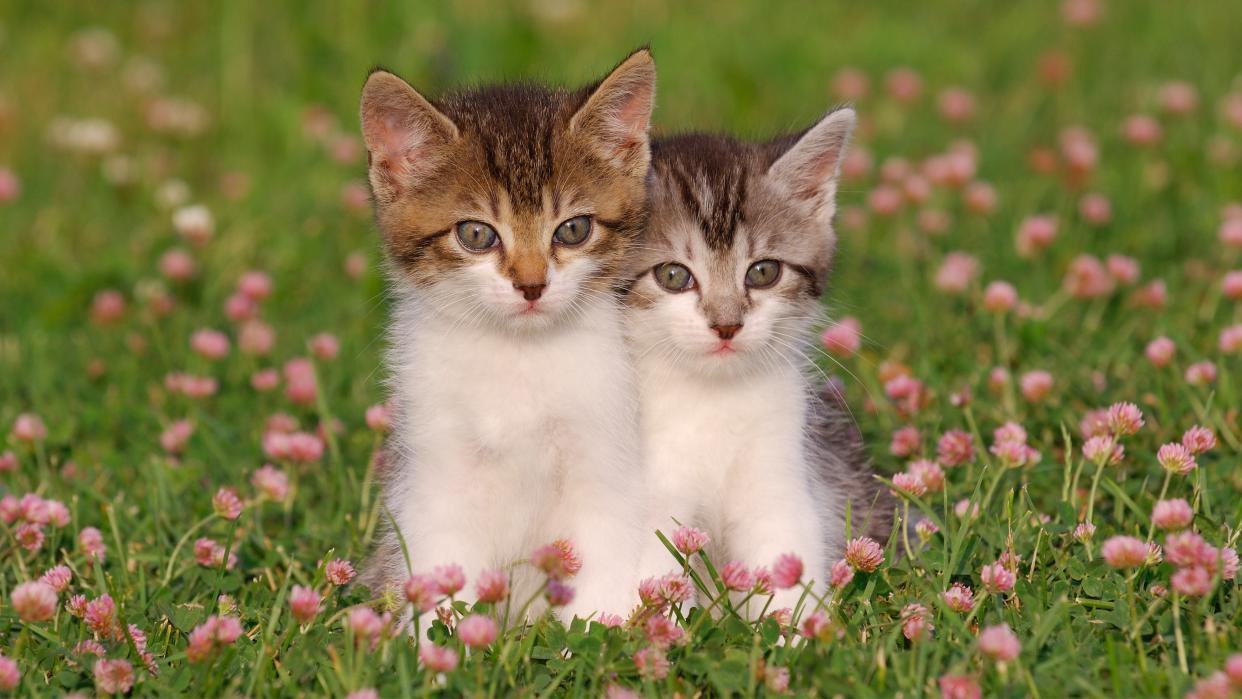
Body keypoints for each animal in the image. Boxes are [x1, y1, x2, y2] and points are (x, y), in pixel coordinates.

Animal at [360, 50, 660, 623]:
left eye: (573, 229)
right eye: (476, 234)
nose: (531, 284)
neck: (517, 357)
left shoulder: (605, 457)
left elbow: (606, 561)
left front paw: (600, 636)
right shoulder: (437, 471)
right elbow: (440, 562)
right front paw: (438, 642)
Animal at [630, 106, 894, 615]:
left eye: (763, 272)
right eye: (672, 275)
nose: (727, 325)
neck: (710, 400)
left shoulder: (784, 476)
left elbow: (786, 558)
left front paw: (799, 632)